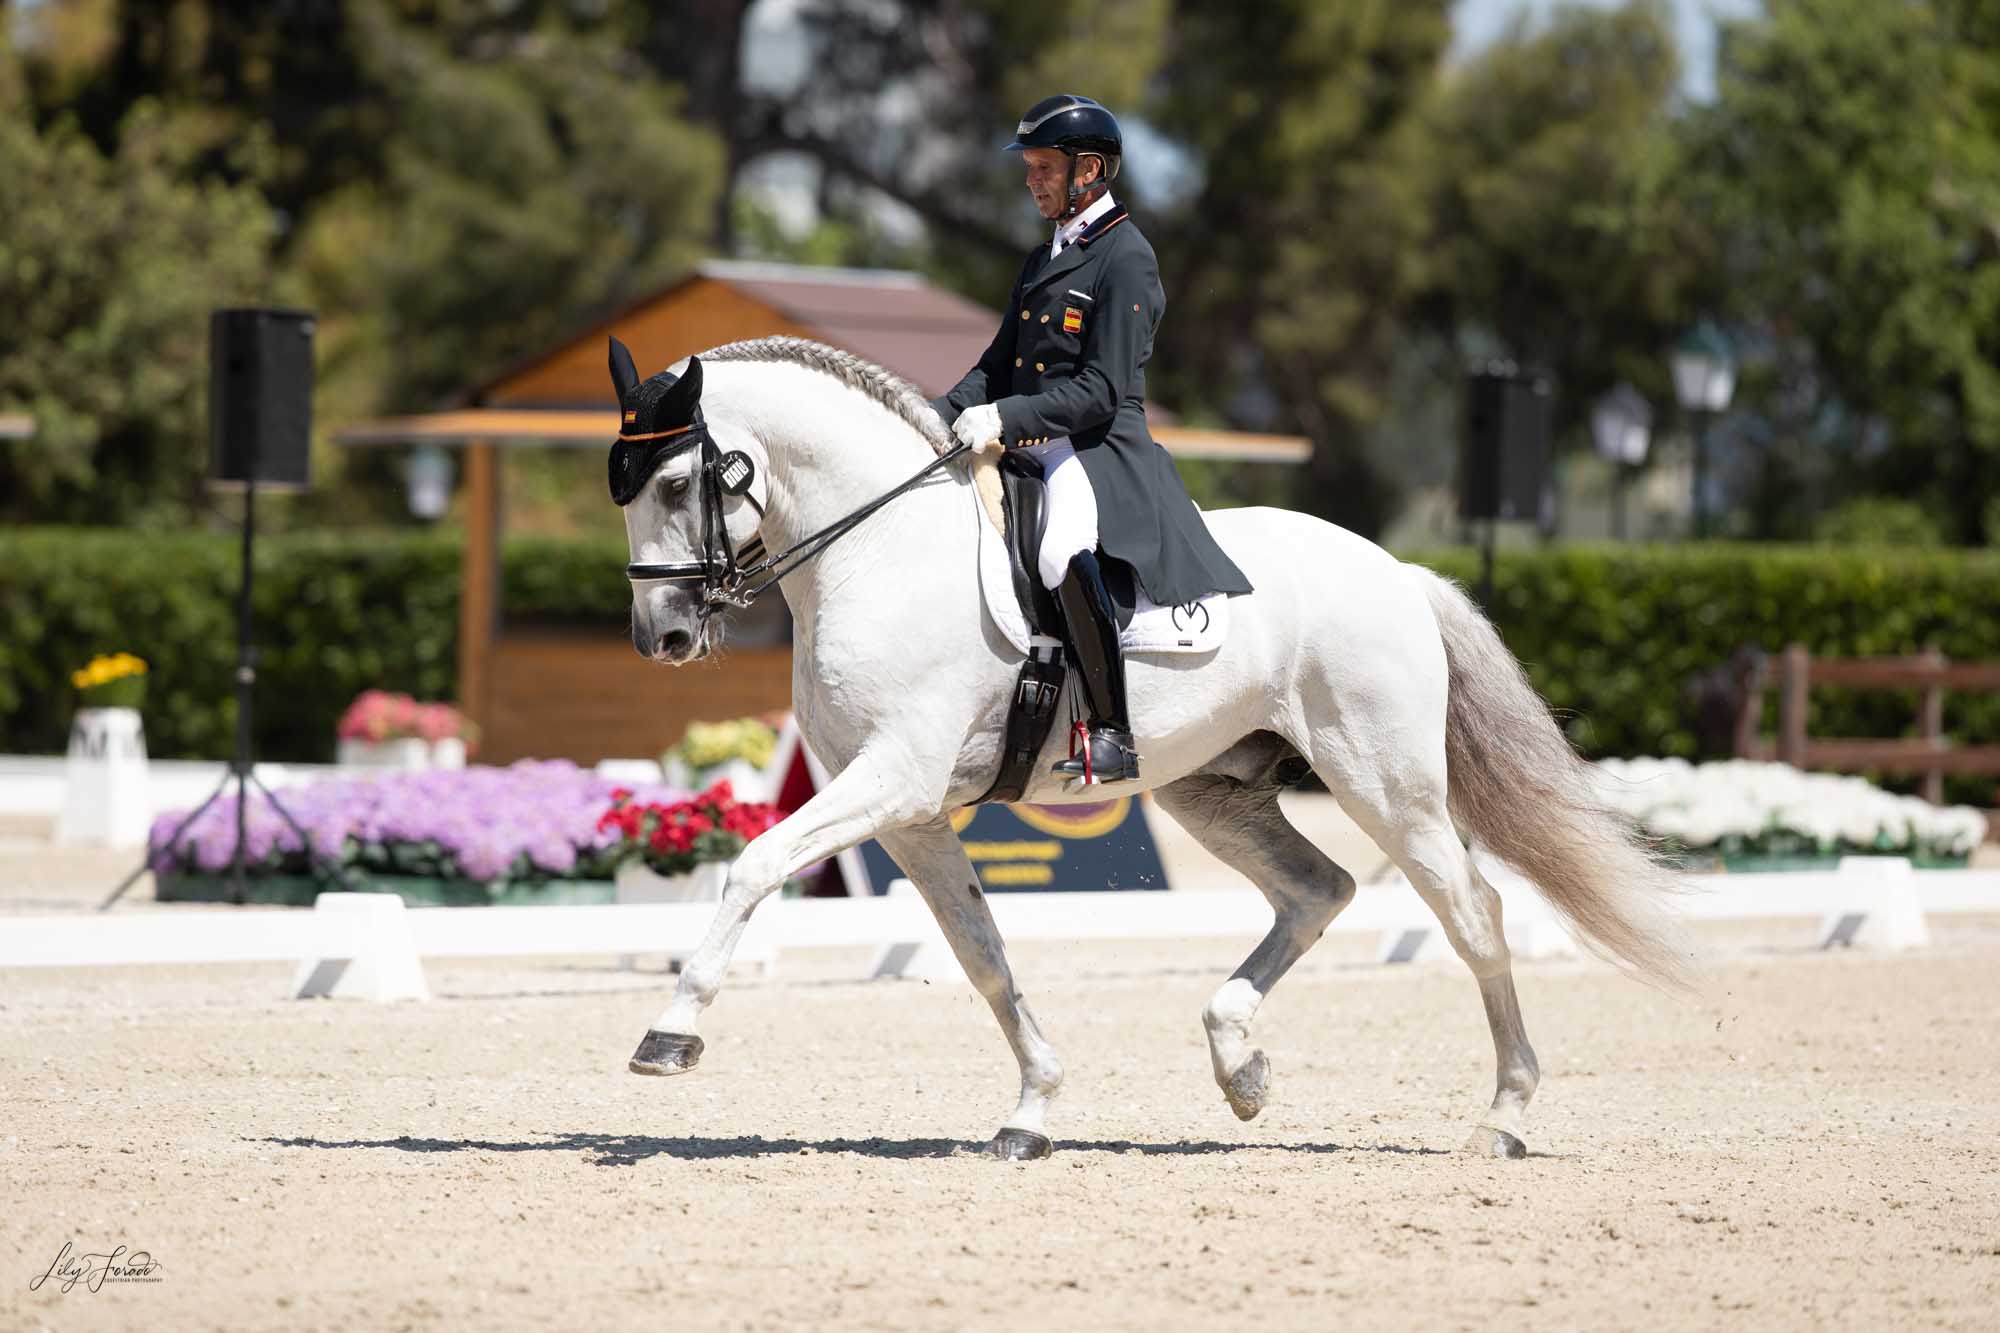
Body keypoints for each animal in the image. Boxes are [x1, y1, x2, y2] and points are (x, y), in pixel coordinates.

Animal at [616, 338, 1680, 1160]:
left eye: (675, 482)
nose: (660, 636)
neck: (879, 553)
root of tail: (1399, 570)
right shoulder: (907, 812)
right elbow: (981, 953)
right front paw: (1033, 1109)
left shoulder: (894, 780)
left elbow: (753, 865)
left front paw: (669, 1034)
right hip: (1213, 791)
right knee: (1318, 889)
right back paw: (1239, 1065)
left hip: (1388, 784)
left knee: (1474, 913)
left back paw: (1502, 1117)